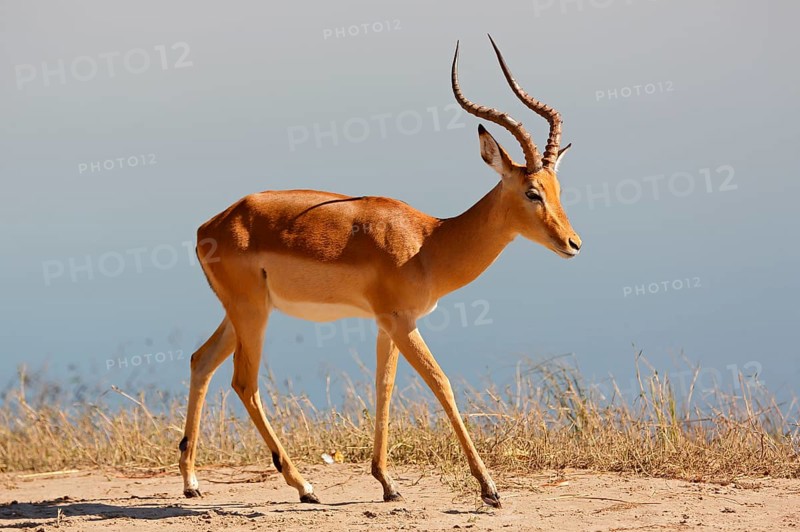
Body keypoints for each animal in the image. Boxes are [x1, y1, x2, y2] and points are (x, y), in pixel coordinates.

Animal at [178, 34, 581, 508]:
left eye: (557, 188)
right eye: (532, 191)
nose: (573, 243)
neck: (429, 242)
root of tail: (210, 226)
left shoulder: (385, 324)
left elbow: (383, 387)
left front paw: (388, 483)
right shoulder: (402, 321)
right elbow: (441, 384)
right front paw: (490, 489)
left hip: (239, 313)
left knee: (201, 361)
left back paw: (192, 482)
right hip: (252, 313)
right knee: (244, 381)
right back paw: (305, 486)